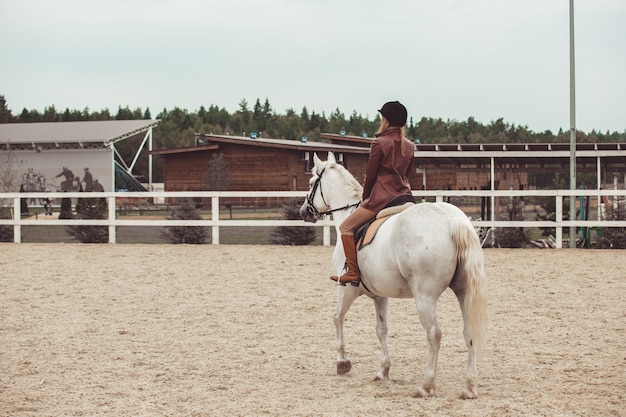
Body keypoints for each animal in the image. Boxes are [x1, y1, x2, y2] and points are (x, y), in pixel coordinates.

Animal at [298, 151, 488, 398]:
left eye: (312, 182)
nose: (304, 212)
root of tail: (453, 220)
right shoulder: (380, 295)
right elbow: (382, 330)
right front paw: (383, 371)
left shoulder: (346, 288)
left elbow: (337, 317)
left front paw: (343, 362)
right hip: (463, 292)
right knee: (469, 332)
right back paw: (469, 387)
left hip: (425, 297)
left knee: (434, 334)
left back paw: (426, 385)